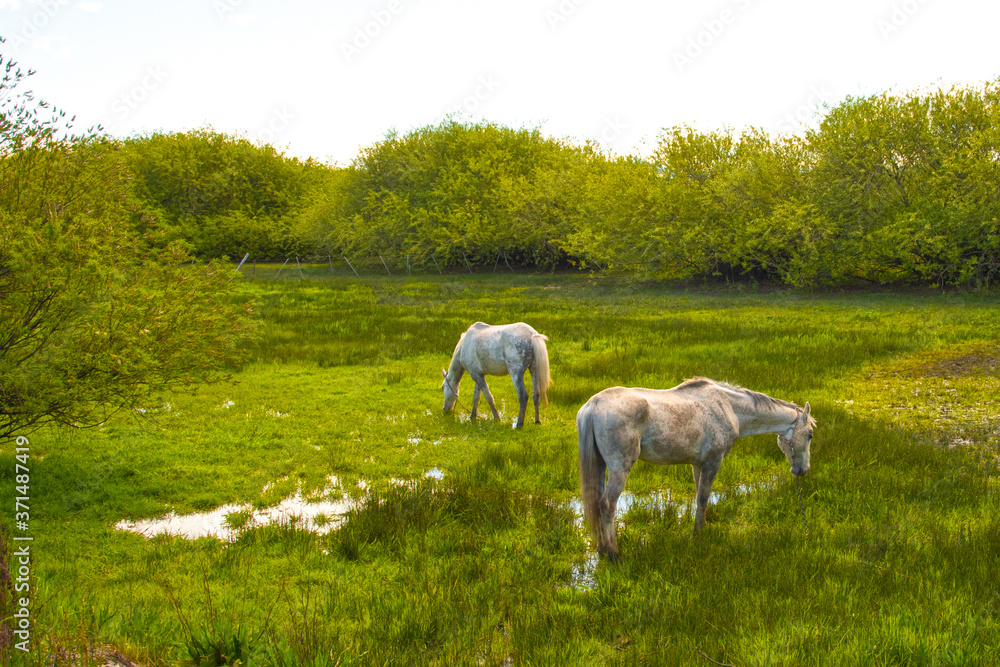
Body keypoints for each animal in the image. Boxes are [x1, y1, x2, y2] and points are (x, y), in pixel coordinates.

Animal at [580, 378, 812, 560]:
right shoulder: (713, 462)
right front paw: (698, 534)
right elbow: (703, 498)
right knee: (607, 505)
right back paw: (613, 554)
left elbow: (701, 498)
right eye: (810, 434)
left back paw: (601, 549)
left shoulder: (697, 465)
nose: (802, 469)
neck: (729, 407)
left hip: (601, 466)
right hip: (620, 469)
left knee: (596, 501)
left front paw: (700, 529)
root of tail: (594, 404)